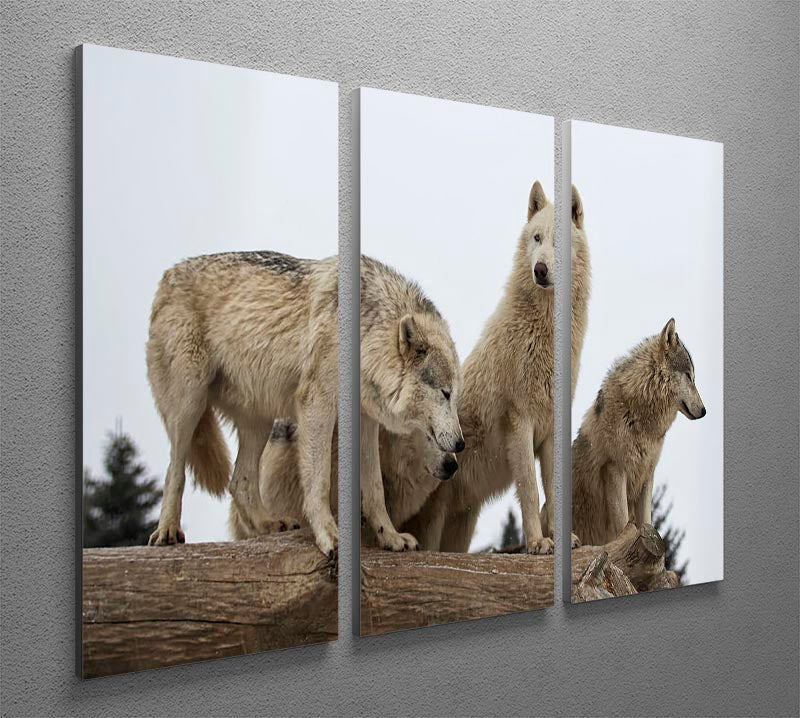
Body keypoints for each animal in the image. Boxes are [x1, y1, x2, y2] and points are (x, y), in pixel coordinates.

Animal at [146, 251, 462, 557]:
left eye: (454, 394)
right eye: (445, 393)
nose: (460, 446)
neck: (365, 336)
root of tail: (168, 274)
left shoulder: (366, 422)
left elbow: (374, 490)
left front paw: (392, 538)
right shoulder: (317, 403)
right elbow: (319, 482)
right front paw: (330, 537)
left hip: (260, 423)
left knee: (239, 482)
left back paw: (268, 524)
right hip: (190, 403)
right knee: (175, 469)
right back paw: (167, 531)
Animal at [402, 181, 591, 554]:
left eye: (557, 240)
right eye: (536, 238)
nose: (540, 270)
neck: (543, 331)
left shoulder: (550, 429)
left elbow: (552, 491)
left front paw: (563, 539)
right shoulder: (520, 421)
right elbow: (531, 491)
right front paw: (537, 542)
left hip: (460, 529)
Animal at [571, 318, 706, 546]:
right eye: (689, 377)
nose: (705, 411)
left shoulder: (647, 473)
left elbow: (647, 522)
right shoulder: (615, 469)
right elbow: (623, 525)